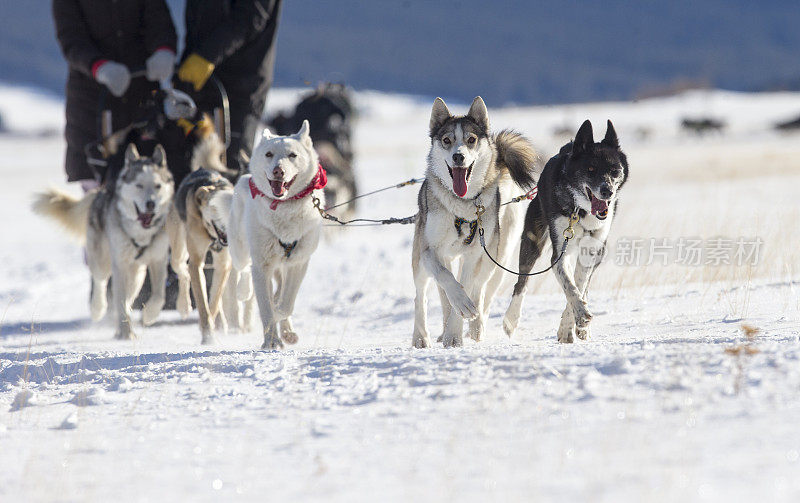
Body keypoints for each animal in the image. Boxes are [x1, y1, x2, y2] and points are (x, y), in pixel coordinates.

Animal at [33, 144, 174, 338]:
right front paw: (126, 333)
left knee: (128, 297)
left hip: (137, 274)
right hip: (102, 261)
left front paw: (149, 314)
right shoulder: (119, 265)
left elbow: (159, 294)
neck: (140, 234)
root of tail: (101, 191)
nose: (151, 204)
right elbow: (118, 298)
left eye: (157, 186)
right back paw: (98, 309)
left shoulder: (158, 259)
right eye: (139, 185)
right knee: (101, 282)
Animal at [166, 167, 234, 344]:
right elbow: (203, 303)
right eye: (217, 207)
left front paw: (211, 326)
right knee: (183, 272)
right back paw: (183, 306)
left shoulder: (224, 264)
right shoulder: (196, 263)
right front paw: (208, 335)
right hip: (178, 251)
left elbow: (214, 301)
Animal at [228, 121, 324, 350]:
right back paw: (244, 290)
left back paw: (287, 331)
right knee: (242, 270)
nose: (278, 171)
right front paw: (271, 340)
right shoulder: (262, 265)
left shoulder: (299, 262)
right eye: (269, 154)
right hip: (240, 250)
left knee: (280, 293)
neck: (284, 208)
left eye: (292, 155)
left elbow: (286, 303)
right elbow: (266, 306)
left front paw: (281, 317)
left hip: (283, 265)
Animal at [412, 96, 536, 348]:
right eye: (447, 140)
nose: (458, 156)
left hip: (495, 258)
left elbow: (468, 286)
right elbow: (447, 281)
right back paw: (421, 336)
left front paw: (454, 333)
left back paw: (476, 326)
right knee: (422, 294)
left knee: (481, 289)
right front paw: (456, 316)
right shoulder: (430, 251)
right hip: (421, 259)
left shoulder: (473, 254)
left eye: (471, 140)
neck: (461, 206)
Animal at [504, 120, 628, 344]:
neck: (580, 211)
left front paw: (572, 325)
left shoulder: (590, 251)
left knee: (583, 285)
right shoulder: (560, 251)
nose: (607, 191)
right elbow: (569, 285)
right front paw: (580, 314)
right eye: (590, 168)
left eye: (615, 170)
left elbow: (578, 284)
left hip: (598, 252)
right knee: (522, 282)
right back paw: (511, 319)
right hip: (533, 241)